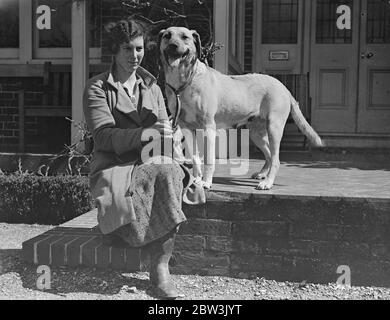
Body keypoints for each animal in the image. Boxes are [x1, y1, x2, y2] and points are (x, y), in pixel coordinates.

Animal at [158, 26, 322, 190]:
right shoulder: (186, 127)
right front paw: (196, 179)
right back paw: (262, 174)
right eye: (167, 36)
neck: (184, 82)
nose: (172, 45)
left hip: (274, 128)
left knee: (276, 159)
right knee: (269, 154)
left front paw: (206, 182)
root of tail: (284, 87)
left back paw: (267, 182)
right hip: (256, 133)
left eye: (184, 37)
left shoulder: (208, 127)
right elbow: (195, 158)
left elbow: (209, 159)